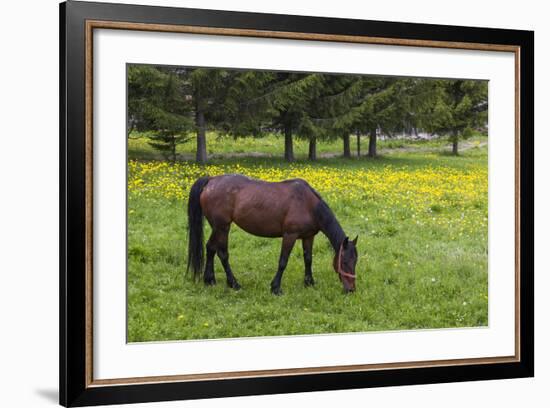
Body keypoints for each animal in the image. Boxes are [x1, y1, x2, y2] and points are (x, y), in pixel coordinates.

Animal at [188, 174, 360, 294]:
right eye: (344, 262)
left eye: (355, 262)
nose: (351, 289)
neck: (308, 204)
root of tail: (211, 180)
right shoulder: (290, 235)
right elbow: (283, 261)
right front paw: (275, 288)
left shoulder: (308, 236)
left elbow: (308, 259)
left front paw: (309, 282)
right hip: (223, 227)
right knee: (222, 254)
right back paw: (234, 283)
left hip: (217, 227)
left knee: (210, 248)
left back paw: (209, 280)